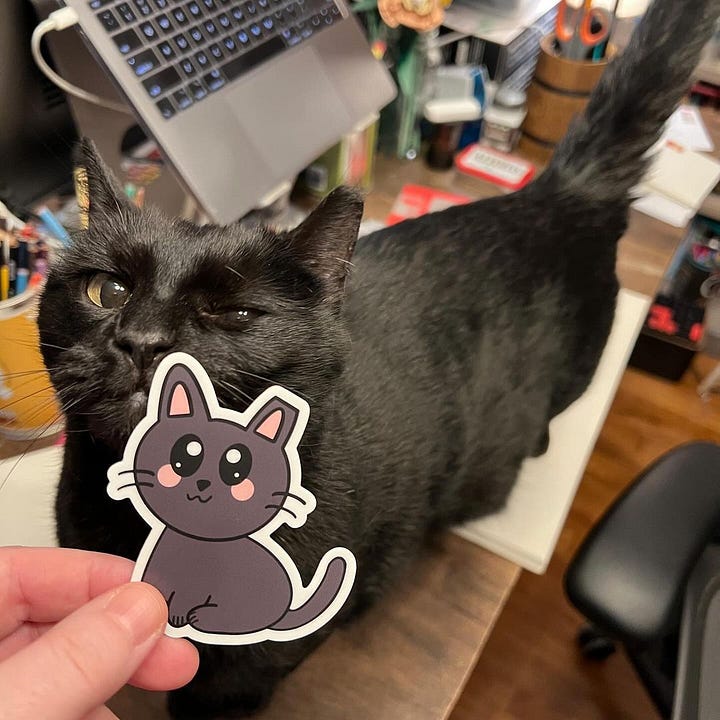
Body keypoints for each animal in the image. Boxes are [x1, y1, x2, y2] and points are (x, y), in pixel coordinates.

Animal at [38, 1, 720, 716]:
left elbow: (223, 689)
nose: (142, 340)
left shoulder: (264, 656)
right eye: (106, 290)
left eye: (235, 314)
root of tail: (553, 192)